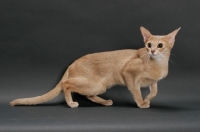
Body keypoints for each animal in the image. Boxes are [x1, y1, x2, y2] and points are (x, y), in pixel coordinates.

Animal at [9, 26, 180, 108]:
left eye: (160, 45)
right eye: (148, 45)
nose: (152, 51)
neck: (158, 64)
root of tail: (71, 64)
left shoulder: (153, 81)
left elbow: (155, 92)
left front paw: (148, 99)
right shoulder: (127, 73)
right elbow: (136, 91)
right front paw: (141, 103)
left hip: (99, 86)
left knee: (87, 95)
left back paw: (104, 102)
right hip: (95, 84)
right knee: (66, 84)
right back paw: (71, 103)